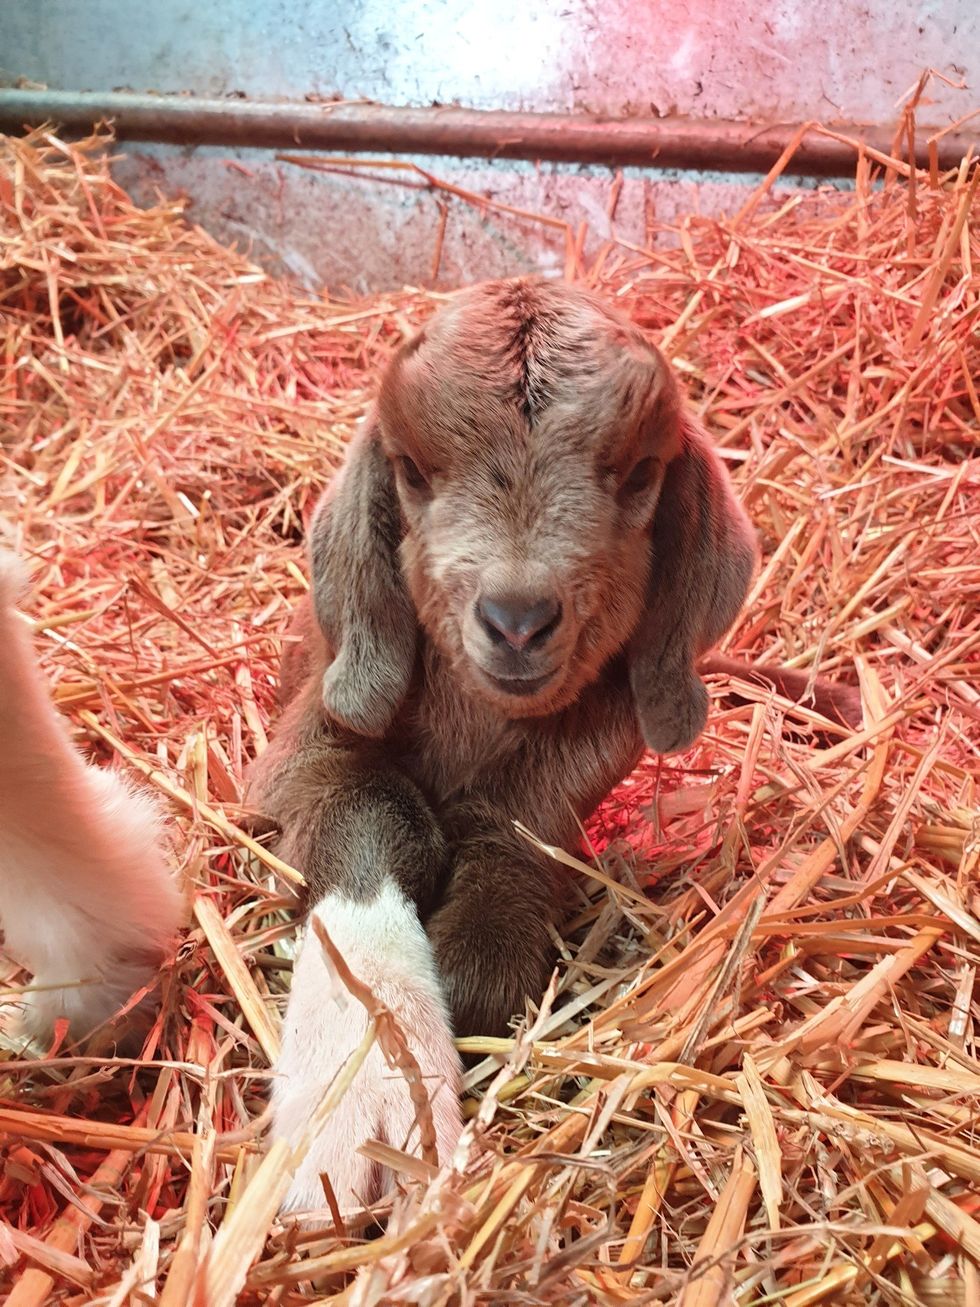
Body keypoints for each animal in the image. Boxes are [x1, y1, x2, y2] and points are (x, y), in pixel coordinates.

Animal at [246, 278, 862, 1219]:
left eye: (641, 475)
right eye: (412, 471)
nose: (517, 618)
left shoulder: (575, 781)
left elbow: (517, 849)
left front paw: (473, 973)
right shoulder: (300, 748)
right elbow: (373, 806)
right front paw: (370, 1091)